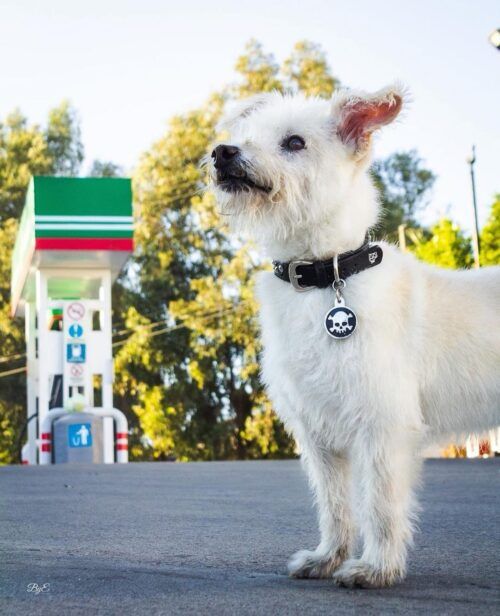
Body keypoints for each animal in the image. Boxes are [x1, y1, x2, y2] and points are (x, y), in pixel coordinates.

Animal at [208, 86, 500, 588]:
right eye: (245, 135)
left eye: (294, 142)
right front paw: (327, 558)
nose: (222, 152)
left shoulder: (382, 428)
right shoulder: (318, 435)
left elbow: (379, 505)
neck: (324, 275)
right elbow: (335, 505)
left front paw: (377, 568)